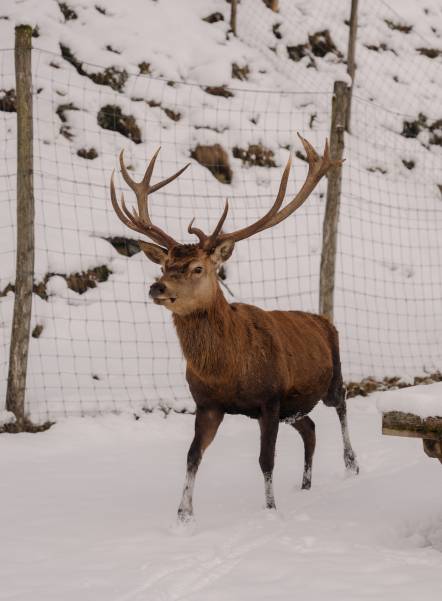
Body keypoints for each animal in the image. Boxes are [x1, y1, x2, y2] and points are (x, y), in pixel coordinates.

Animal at [109, 136, 360, 520]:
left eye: (197, 268)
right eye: (165, 264)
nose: (157, 287)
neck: (227, 371)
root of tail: (323, 320)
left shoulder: (269, 398)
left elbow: (266, 460)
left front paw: (271, 509)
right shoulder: (207, 403)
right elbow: (192, 456)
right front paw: (183, 515)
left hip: (330, 378)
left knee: (342, 402)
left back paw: (351, 465)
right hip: (294, 407)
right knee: (311, 428)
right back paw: (305, 484)